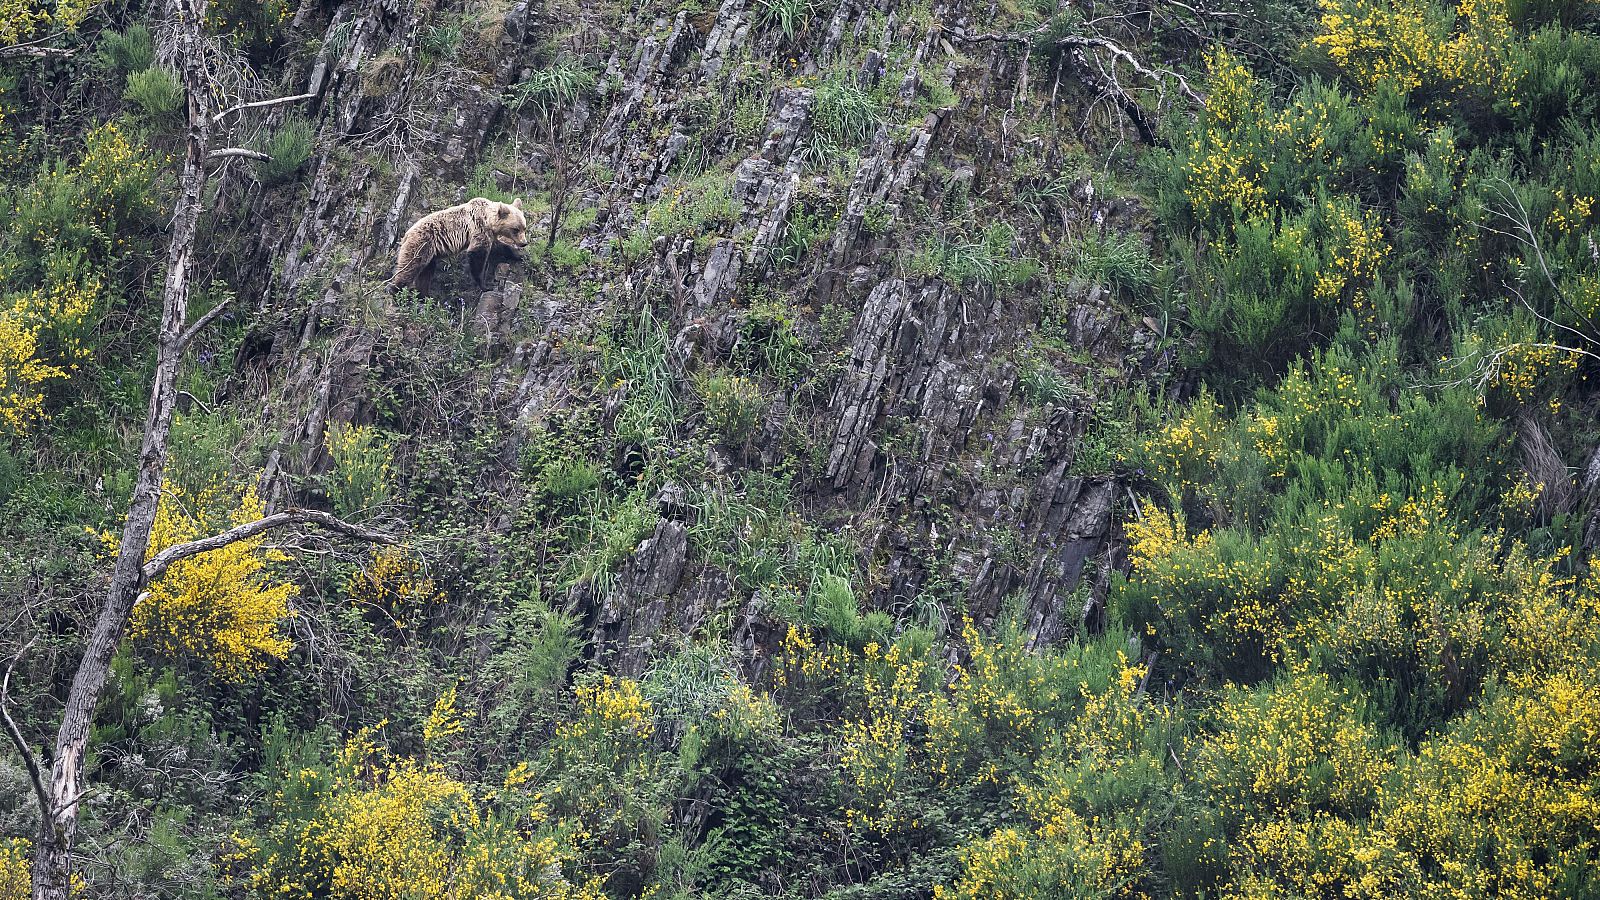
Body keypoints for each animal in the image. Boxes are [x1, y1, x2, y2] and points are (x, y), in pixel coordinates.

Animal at [388, 196, 528, 294]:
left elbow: (498, 247)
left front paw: (519, 255)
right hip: (421, 244)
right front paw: (485, 286)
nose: (524, 243)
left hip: (429, 253)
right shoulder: (479, 228)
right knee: (410, 267)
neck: (488, 220)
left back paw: (424, 296)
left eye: (524, 227)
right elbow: (477, 254)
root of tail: (406, 234)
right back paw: (396, 290)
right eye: (515, 229)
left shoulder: (489, 235)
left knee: (426, 273)